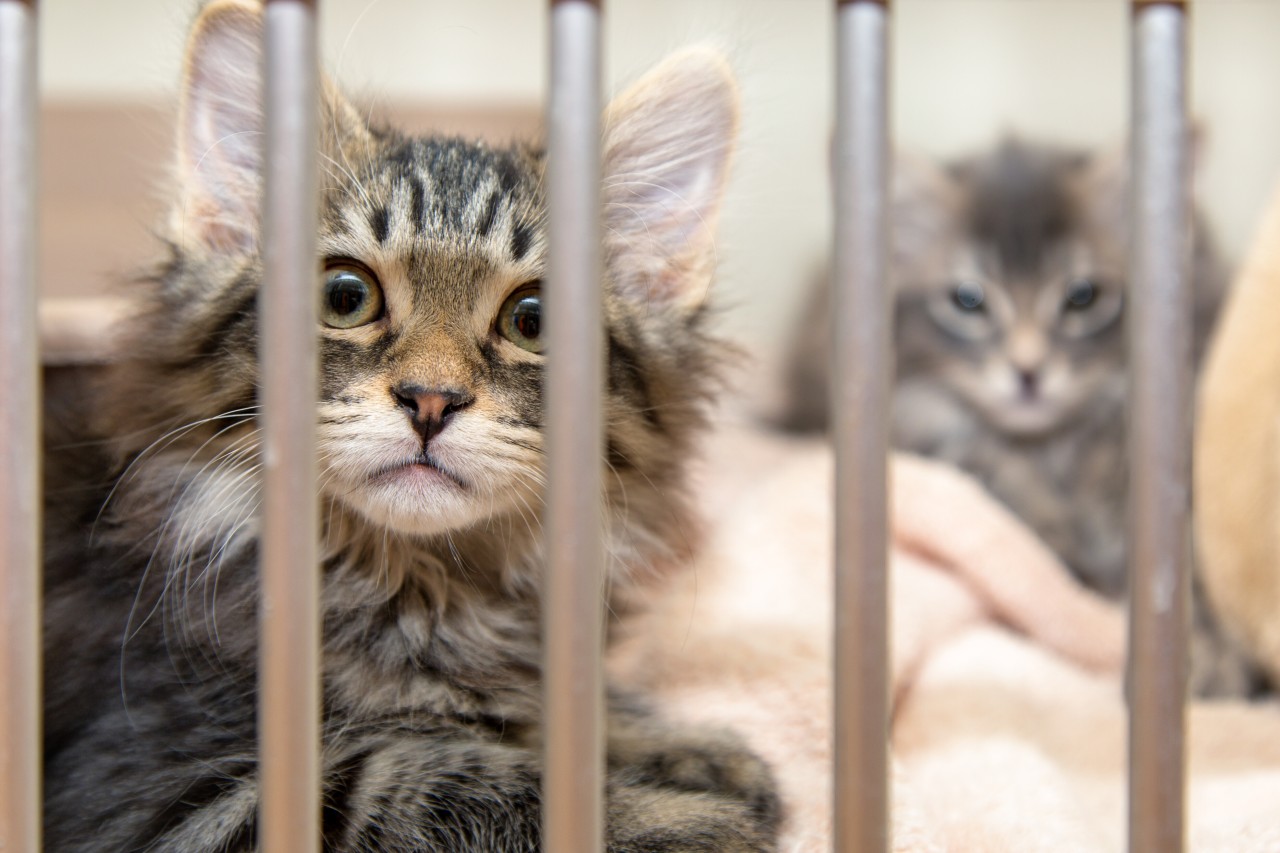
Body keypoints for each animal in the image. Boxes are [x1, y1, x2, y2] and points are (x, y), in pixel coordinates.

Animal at [40, 3, 778, 845]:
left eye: (532, 321)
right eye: (345, 297)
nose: (431, 399)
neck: (424, 589)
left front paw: (677, 742)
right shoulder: (157, 787)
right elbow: (446, 777)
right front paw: (673, 813)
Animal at [778, 137, 1259, 691]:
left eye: (1083, 297)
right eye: (968, 300)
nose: (1028, 371)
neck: (1052, 451)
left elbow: (1179, 580)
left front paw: (1209, 657)